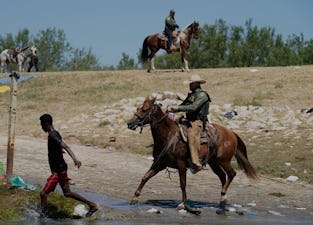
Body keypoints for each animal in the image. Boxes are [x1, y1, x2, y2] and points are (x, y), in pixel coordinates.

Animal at [125, 96, 258, 214]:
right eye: (138, 108)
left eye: (144, 109)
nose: (129, 123)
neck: (168, 135)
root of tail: (231, 133)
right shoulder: (160, 163)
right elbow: (145, 177)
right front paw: (134, 198)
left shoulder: (181, 164)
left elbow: (183, 184)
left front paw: (183, 204)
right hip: (213, 162)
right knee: (222, 176)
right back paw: (222, 201)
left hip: (224, 160)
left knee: (231, 174)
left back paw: (223, 197)